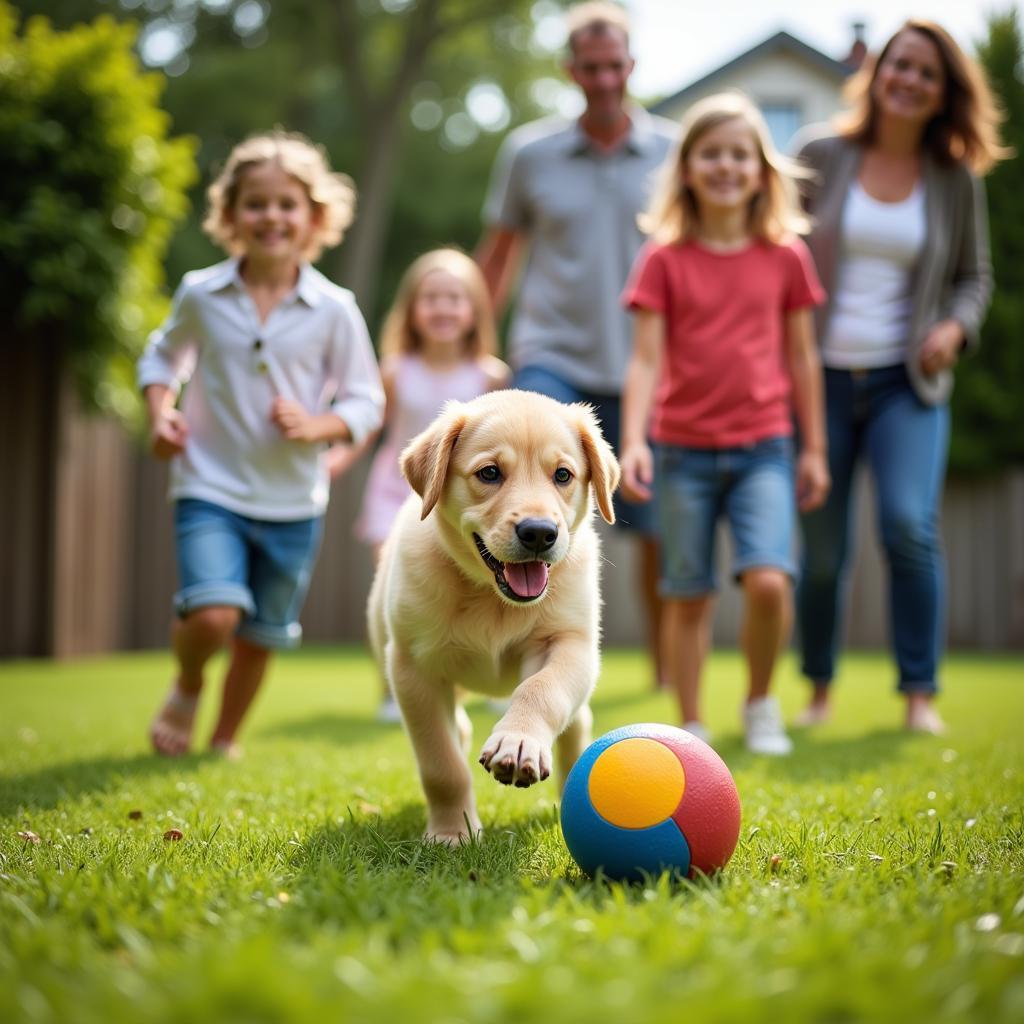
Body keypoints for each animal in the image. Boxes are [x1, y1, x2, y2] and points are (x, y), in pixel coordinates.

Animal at [370, 387, 622, 843]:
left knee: (577, 725)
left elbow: (542, 689)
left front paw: (519, 742)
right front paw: (452, 832)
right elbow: (441, 764)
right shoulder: (413, 667)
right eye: (489, 473)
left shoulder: (569, 644)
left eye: (563, 475)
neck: (491, 596)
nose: (540, 533)